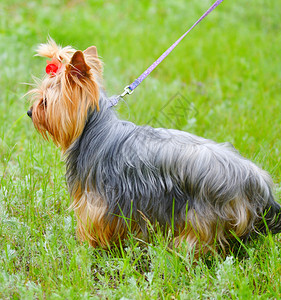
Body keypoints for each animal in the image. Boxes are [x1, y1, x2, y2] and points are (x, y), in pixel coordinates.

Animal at [27, 39, 280, 255]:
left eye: (45, 102)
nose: (29, 112)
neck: (94, 130)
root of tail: (257, 180)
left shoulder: (97, 203)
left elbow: (94, 226)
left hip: (202, 214)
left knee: (198, 241)